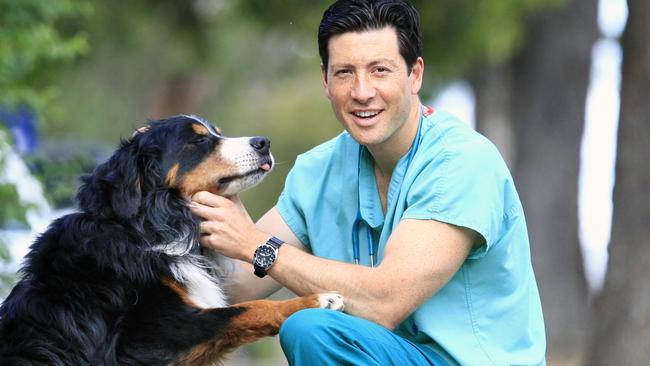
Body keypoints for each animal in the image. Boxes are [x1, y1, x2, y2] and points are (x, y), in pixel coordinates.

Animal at [0, 115, 344, 366]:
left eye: (217, 132)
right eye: (200, 140)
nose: (263, 142)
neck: (149, 231)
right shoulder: (152, 335)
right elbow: (249, 308)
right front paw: (317, 300)